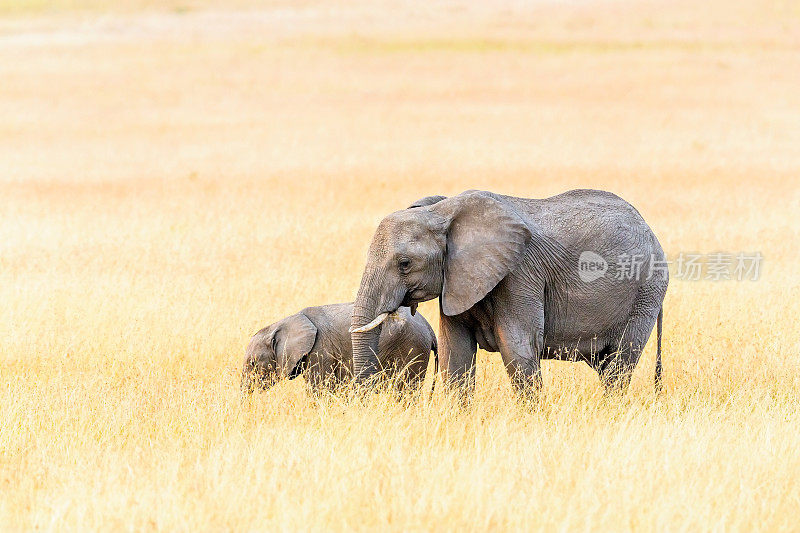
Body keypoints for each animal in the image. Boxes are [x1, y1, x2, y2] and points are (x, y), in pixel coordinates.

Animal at [350, 189, 668, 392]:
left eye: (404, 264)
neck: (442, 211)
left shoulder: (520, 274)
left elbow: (518, 346)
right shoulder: (457, 280)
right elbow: (455, 352)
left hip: (645, 293)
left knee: (619, 364)